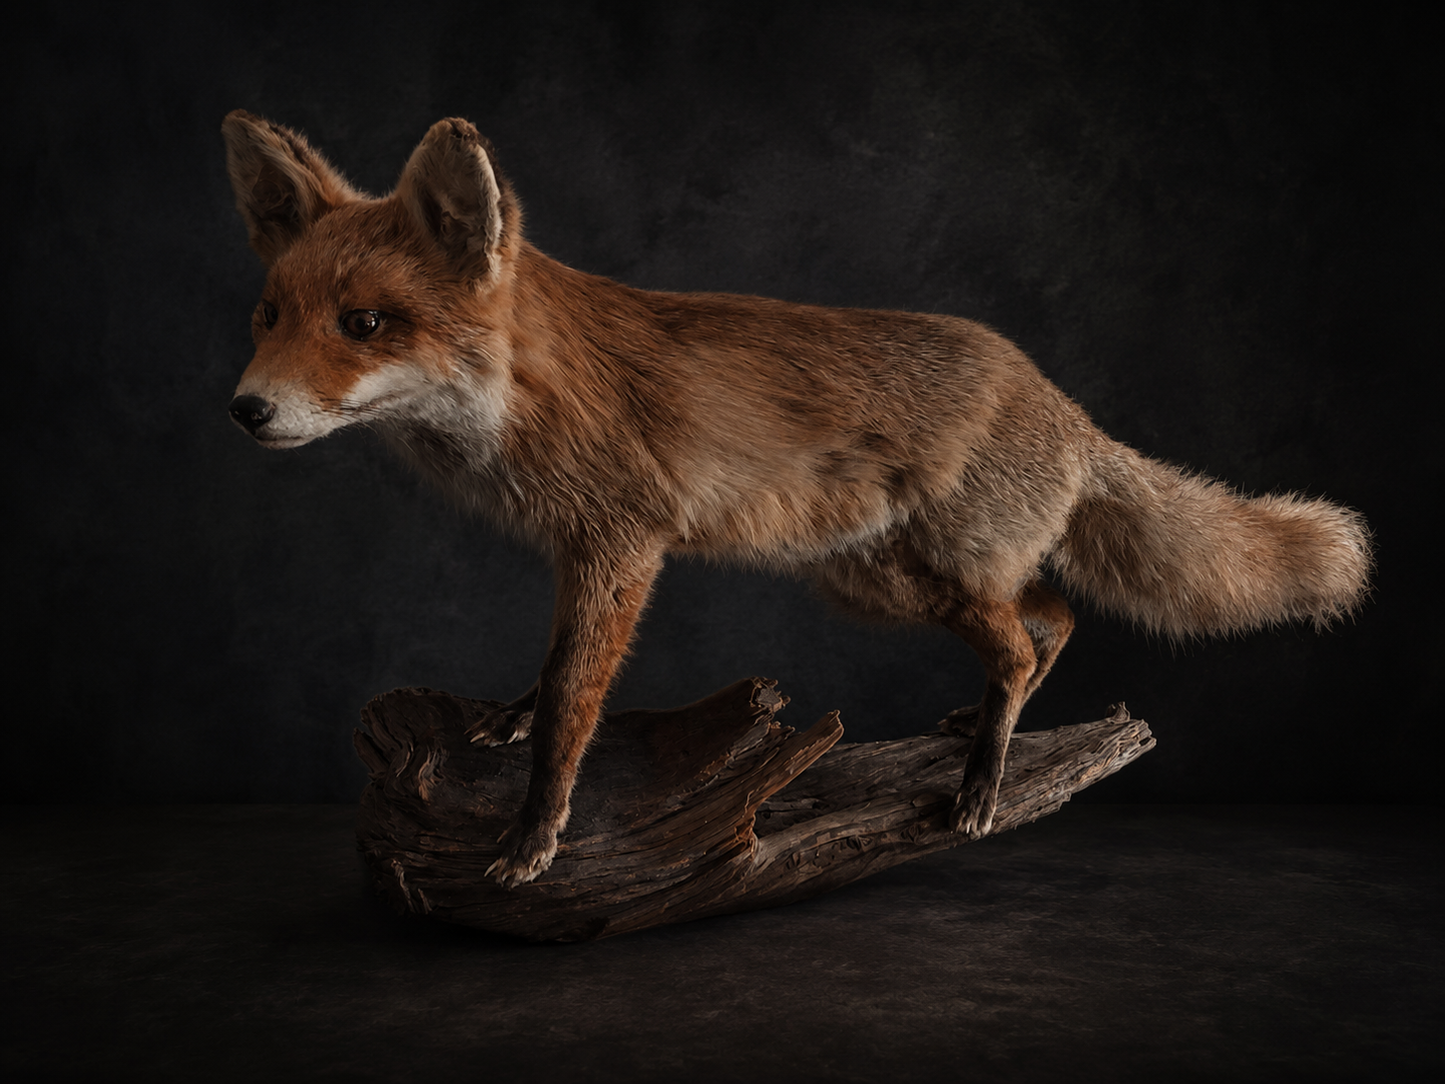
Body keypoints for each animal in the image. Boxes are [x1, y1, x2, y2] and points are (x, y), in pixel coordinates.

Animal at [222, 110, 1372, 887]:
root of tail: (1059, 401)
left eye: (365, 325)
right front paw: (505, 722)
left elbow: (572, 706)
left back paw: (983, 784)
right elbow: (546, 675)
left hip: (927, 578)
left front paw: (532, 837)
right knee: (1052, 615)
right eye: (269, 315)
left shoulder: (622, 543)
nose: (244, 410)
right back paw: (989, 729)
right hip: (887, 581)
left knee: (1020, 636)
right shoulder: (577, 554)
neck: (524, 397)